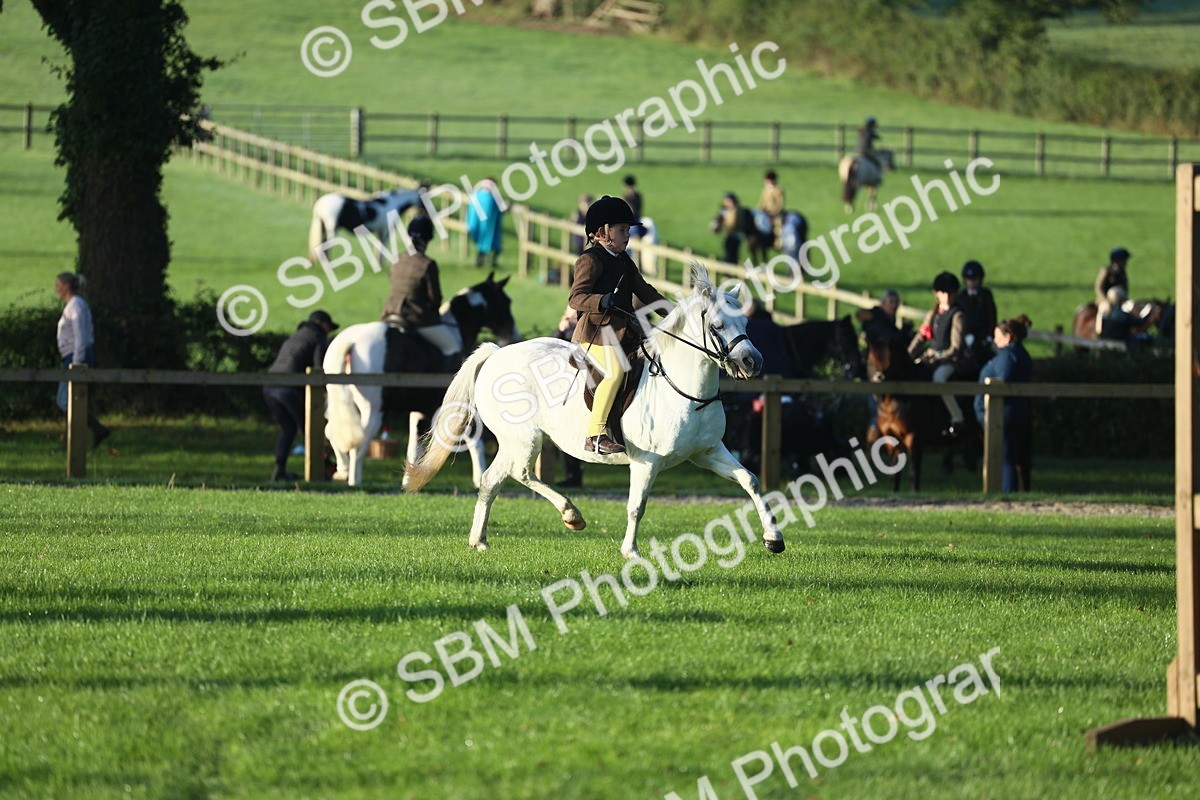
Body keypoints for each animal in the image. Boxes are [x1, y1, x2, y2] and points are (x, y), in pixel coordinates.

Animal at [322, 272, 519, 487]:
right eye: (506, 302)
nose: (513, 335)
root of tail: (352, 339)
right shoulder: (457, 408)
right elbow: (475, 442)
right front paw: (479, 477)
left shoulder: (419, 411)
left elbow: (414, 447)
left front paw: (409, 480)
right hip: (373, 409)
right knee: (359, 442)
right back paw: (354, 480)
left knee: (332, 432)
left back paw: (342, 471)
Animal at [403, 266, 788, 558]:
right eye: (717, 326)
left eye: (746, 325)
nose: (753, 362)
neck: (685, 389)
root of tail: (497, 353)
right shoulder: (647, 462)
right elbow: (637, 505)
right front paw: (631, 552)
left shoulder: (708, 452)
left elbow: (751, 481)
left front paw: (773, 538)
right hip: (523, 438)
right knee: (515, 474)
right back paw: (567, 515)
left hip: (519, 441)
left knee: (495, 480)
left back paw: (483, 539)